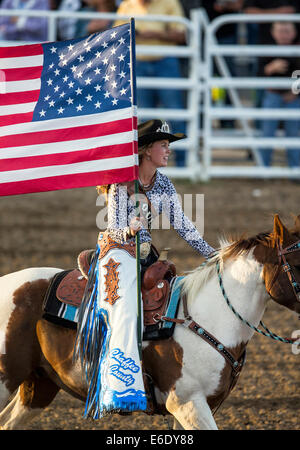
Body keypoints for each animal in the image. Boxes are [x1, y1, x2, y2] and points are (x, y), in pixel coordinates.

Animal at [0, 214, 300, 428]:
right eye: (297, 263)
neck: (208, 317)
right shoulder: (187, 403)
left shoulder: (190, 408)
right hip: (7, 378)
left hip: (39, 386)